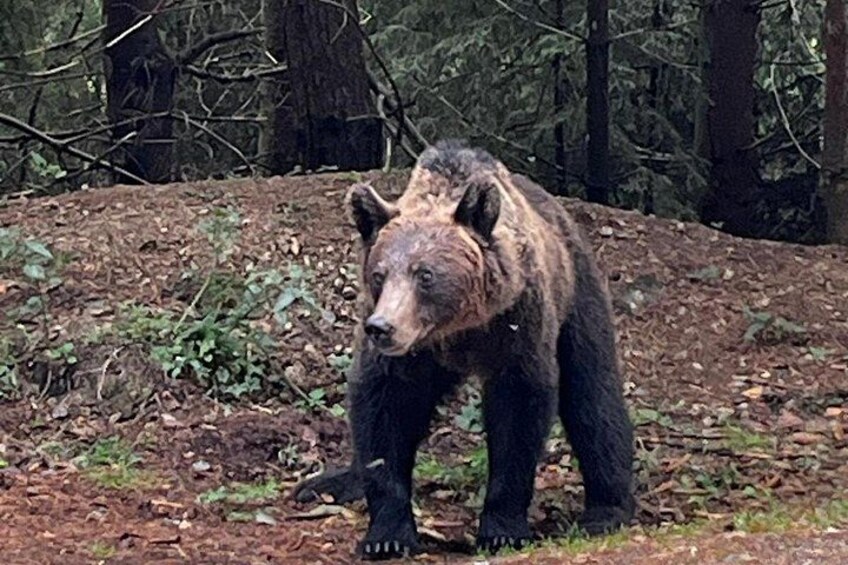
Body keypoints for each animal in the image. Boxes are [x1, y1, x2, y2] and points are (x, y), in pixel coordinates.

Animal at [295, 140, 634, 560]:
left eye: (425, 274)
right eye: (379, 274)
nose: (382, 328)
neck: (456, 330)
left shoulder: (516, 323)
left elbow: (518, 411)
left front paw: (502, 529)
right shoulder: (405, 357)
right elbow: (383, 414)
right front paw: (388, 535)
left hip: (576, 294)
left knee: (593, 394)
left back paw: (607, 508)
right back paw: (332, 482)